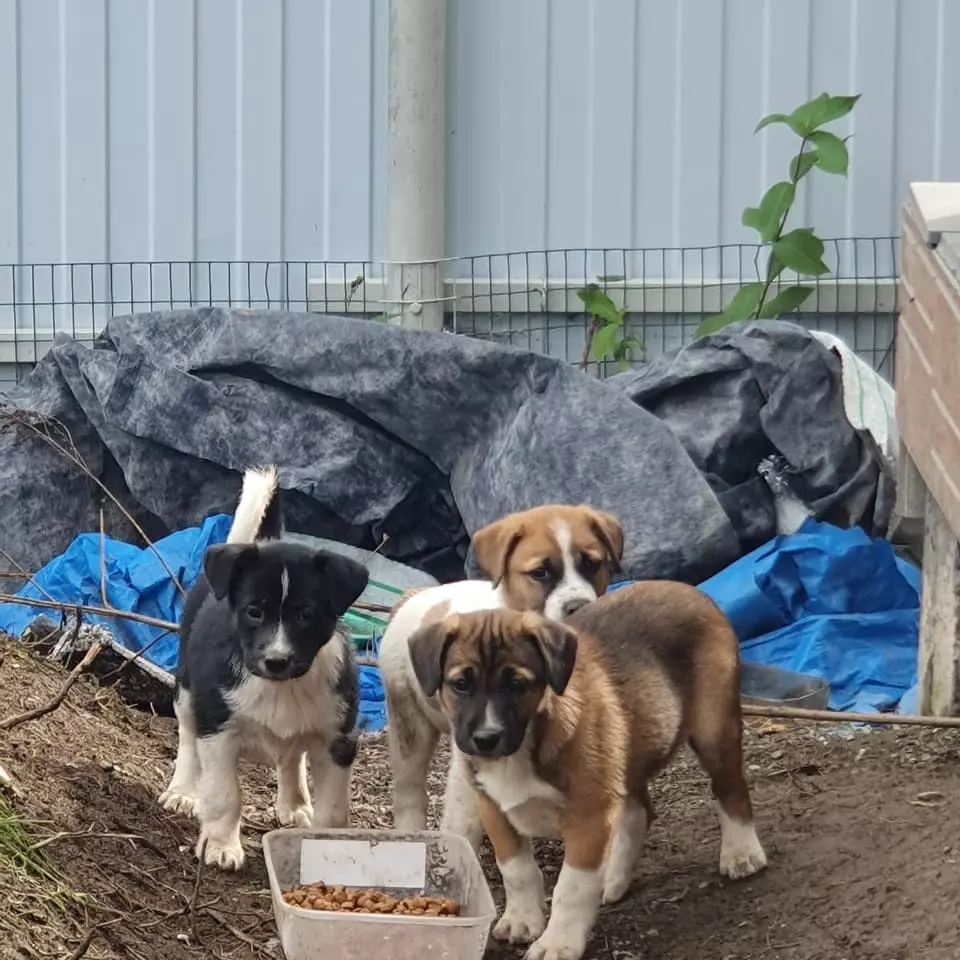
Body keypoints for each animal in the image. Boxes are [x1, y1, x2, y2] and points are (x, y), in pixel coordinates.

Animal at [158, 466, 370, 871]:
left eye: (306, 615)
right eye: (254, 611)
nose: (276, 661)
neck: (282, 686)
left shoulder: (338, 739)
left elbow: (334, 812)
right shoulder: (218, 731)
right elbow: (224, 794)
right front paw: (221, 846)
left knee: (292, 756)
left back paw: (295, 803)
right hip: (187, 692)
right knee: (187, 738)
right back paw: (183, 792)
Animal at [378, 504, 624, 847]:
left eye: (591, 564)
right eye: (539, 573)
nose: (579, 605)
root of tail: (412, 597)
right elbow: (465, 819)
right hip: (409, 726)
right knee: (410, 793)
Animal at [406, 583, 767, 960]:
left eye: (516, 684)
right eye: (460, 684)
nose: (486, 739)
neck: (524, 746)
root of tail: (691, 590)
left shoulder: (587, 816)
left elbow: (572, 887)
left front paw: (557, 942)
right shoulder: (494, 809)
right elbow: (516, 870)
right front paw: (522, 919)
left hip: (714, 730)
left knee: (731, 789)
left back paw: (742, 854)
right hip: (626, 751)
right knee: (639, 811)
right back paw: (614, 878)